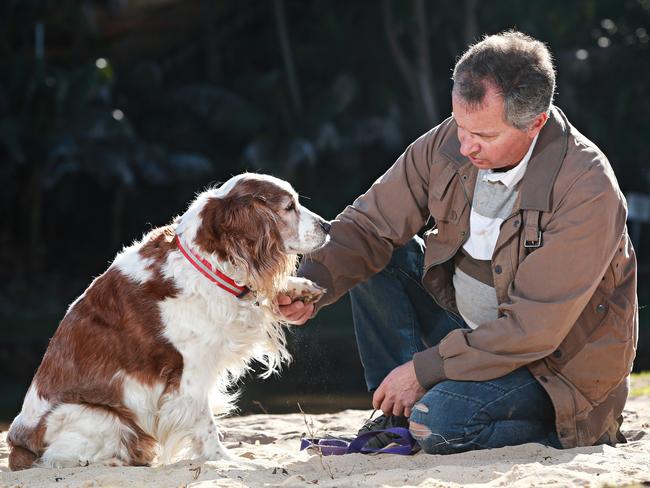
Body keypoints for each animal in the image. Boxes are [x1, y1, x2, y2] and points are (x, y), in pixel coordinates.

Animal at [6, 173, 326, 468]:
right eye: (289, 207)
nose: (327, 226)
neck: (209, 262)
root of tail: (17, 445)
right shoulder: (190, 375)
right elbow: (206, 425)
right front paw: (226, 460)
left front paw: (301, 288)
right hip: (102, 417)